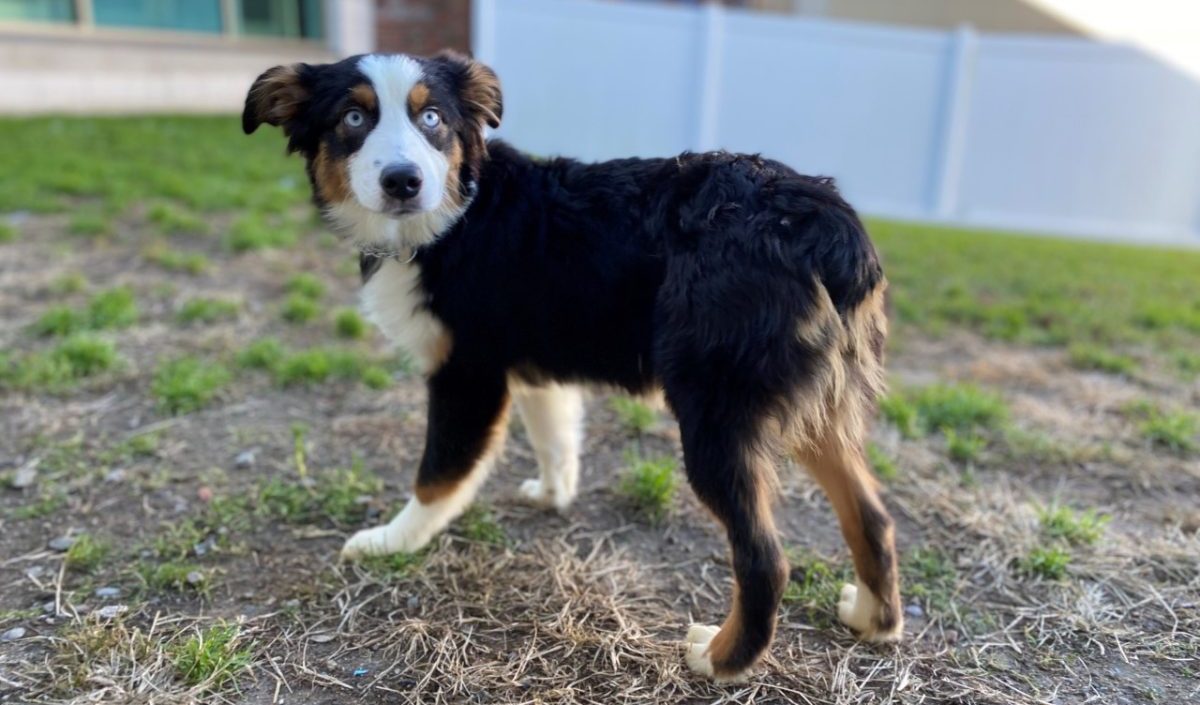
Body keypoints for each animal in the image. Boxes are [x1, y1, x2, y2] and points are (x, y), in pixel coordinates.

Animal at [241, 50, 902, 681]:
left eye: (432, 118)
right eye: (353, 118)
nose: (404, 182)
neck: (459, 211)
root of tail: (823, 223)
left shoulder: (468, 374)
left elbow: (438, 475)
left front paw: (392, 542)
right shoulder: (531, 367)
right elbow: (554, 437)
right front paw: (554, 495)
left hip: (716, 413)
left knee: (765, 558)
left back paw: (721, 659)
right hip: (816, 406)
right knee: (871, 513)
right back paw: (874, 619)